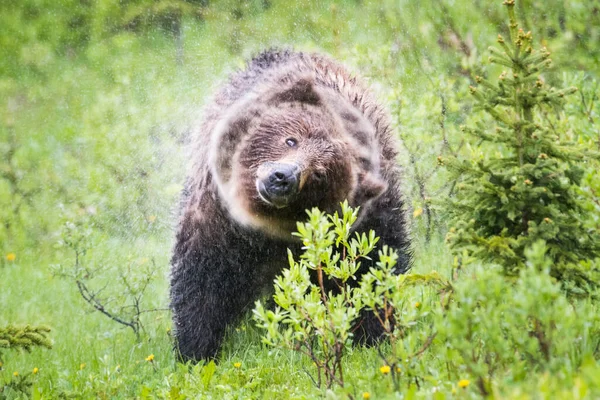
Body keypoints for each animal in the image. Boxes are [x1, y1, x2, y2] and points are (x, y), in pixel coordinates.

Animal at [171, 48, 410, 360]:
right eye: (291, 139)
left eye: (320, 174)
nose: (283, 177)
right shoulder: (217, 215)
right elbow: (203, 275)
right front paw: (196, 349)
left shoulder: (365, 218)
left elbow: (374, 263)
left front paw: (372, 333)